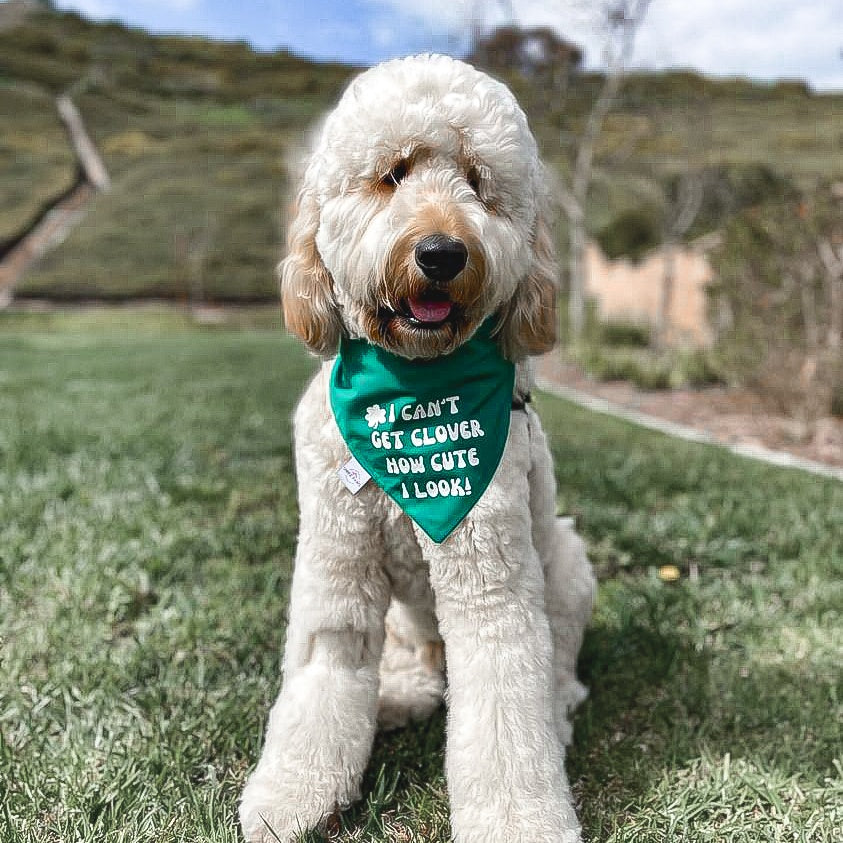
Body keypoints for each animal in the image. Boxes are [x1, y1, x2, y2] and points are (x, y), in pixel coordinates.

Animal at [237, 54, 592, 843]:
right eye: (393, 173)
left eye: (478, 183)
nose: (441, 252)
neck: (412, 388)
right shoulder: (336, 564)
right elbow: (324, 669)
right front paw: (293, 795)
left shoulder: (492, 582)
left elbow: (505, 701)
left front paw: (519, 820)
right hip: (403, 611)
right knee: (413, 662)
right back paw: (397, 694)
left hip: (565, 562)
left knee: (555, 669)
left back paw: (555, 711)